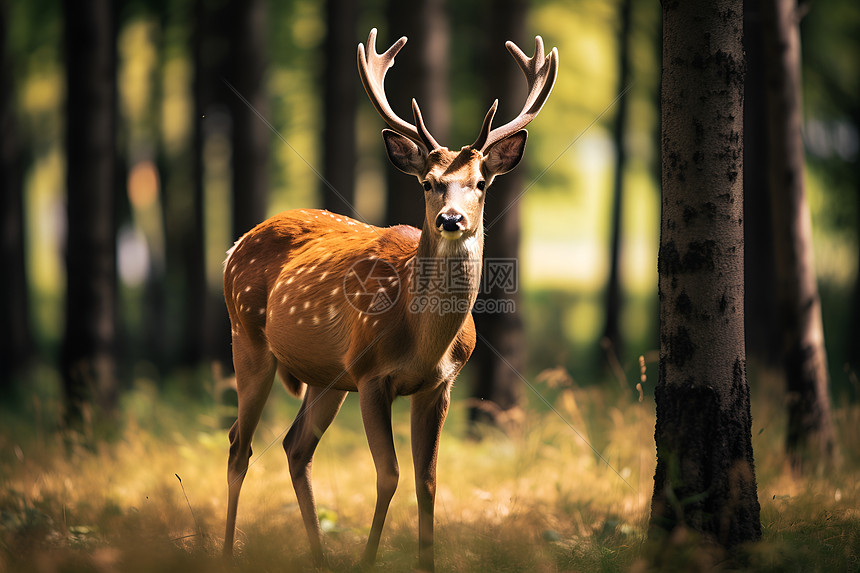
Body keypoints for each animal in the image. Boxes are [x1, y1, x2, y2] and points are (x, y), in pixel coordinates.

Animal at [222, 27, 556, 572]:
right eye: (429, 182)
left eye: (480, 183)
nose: (450, 219)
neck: (423, 340)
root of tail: (235, 245)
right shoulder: (371, 375)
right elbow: (390, 474)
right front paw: (368, 559)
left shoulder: (439, 385)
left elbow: (428, 481)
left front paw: (426, 562)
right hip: (248, 337)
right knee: (239, 445)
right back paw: (228, 550)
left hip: (327, 377)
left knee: (295, 446)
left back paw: (319, 557)